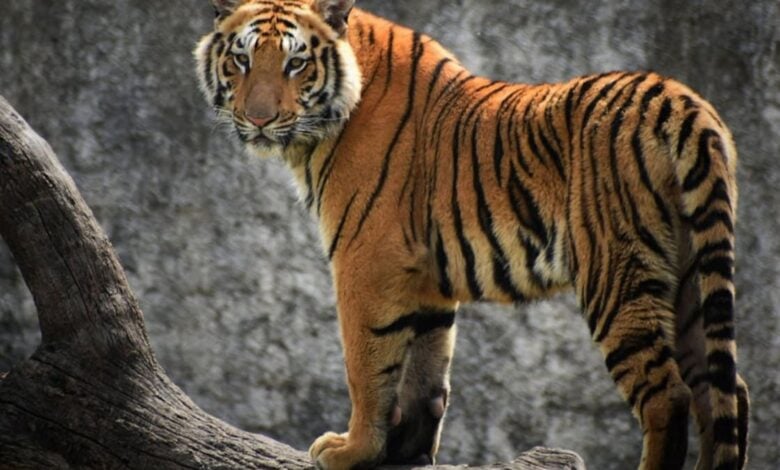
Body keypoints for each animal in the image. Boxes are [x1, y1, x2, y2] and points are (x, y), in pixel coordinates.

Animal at [194, 1, 750, 469]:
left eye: (296, 64)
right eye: (242, 60)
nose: (259, 119)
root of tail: (683, 102)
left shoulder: (365, 260)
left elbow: (367, 365)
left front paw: (352, 451)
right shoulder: (423, 277)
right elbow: (425, 371)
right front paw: (407, 453)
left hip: (617, 272)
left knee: (668, 396)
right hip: (691, 276)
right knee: (726, 393)